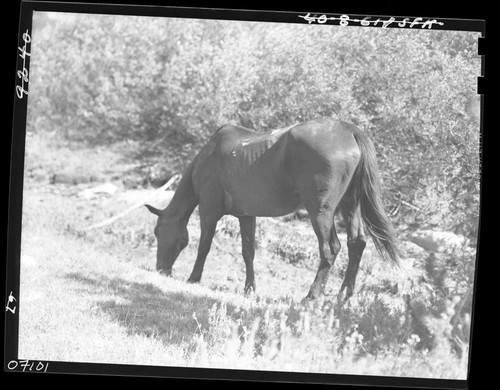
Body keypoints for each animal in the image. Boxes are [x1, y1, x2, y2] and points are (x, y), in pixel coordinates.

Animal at [146, 117, 398, 300]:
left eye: (158, 232)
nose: (161, 269)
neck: (209, 156)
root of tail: (350, 130)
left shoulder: (208, 212)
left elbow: (203, 247)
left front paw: (194, 278)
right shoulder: (246, 216)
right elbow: (248, 252)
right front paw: (250, 288)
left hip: (321, 212)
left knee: (330, 249)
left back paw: (312, 295)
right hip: (350, 206)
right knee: (356, 244)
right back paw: (344, 295)